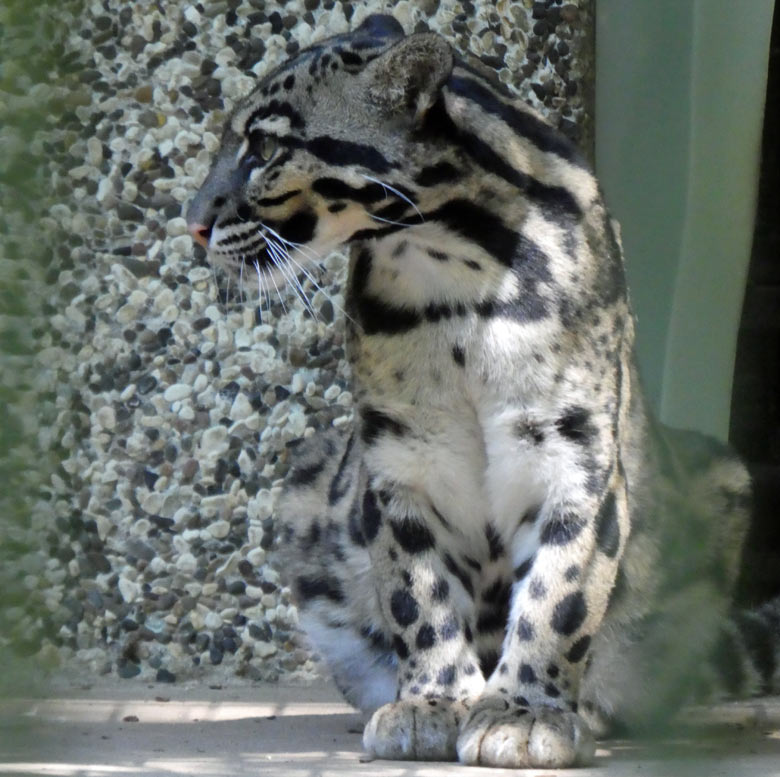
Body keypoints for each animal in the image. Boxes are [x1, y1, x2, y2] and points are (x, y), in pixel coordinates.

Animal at [186, 15, 776, 768]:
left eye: (263, 147)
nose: (193, 223)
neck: (455, 271)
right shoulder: (401, 456)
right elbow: (418, 591)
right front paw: (432, 702)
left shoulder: (575, 449)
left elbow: (560, 591)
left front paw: (526, 713)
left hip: (718, 478)